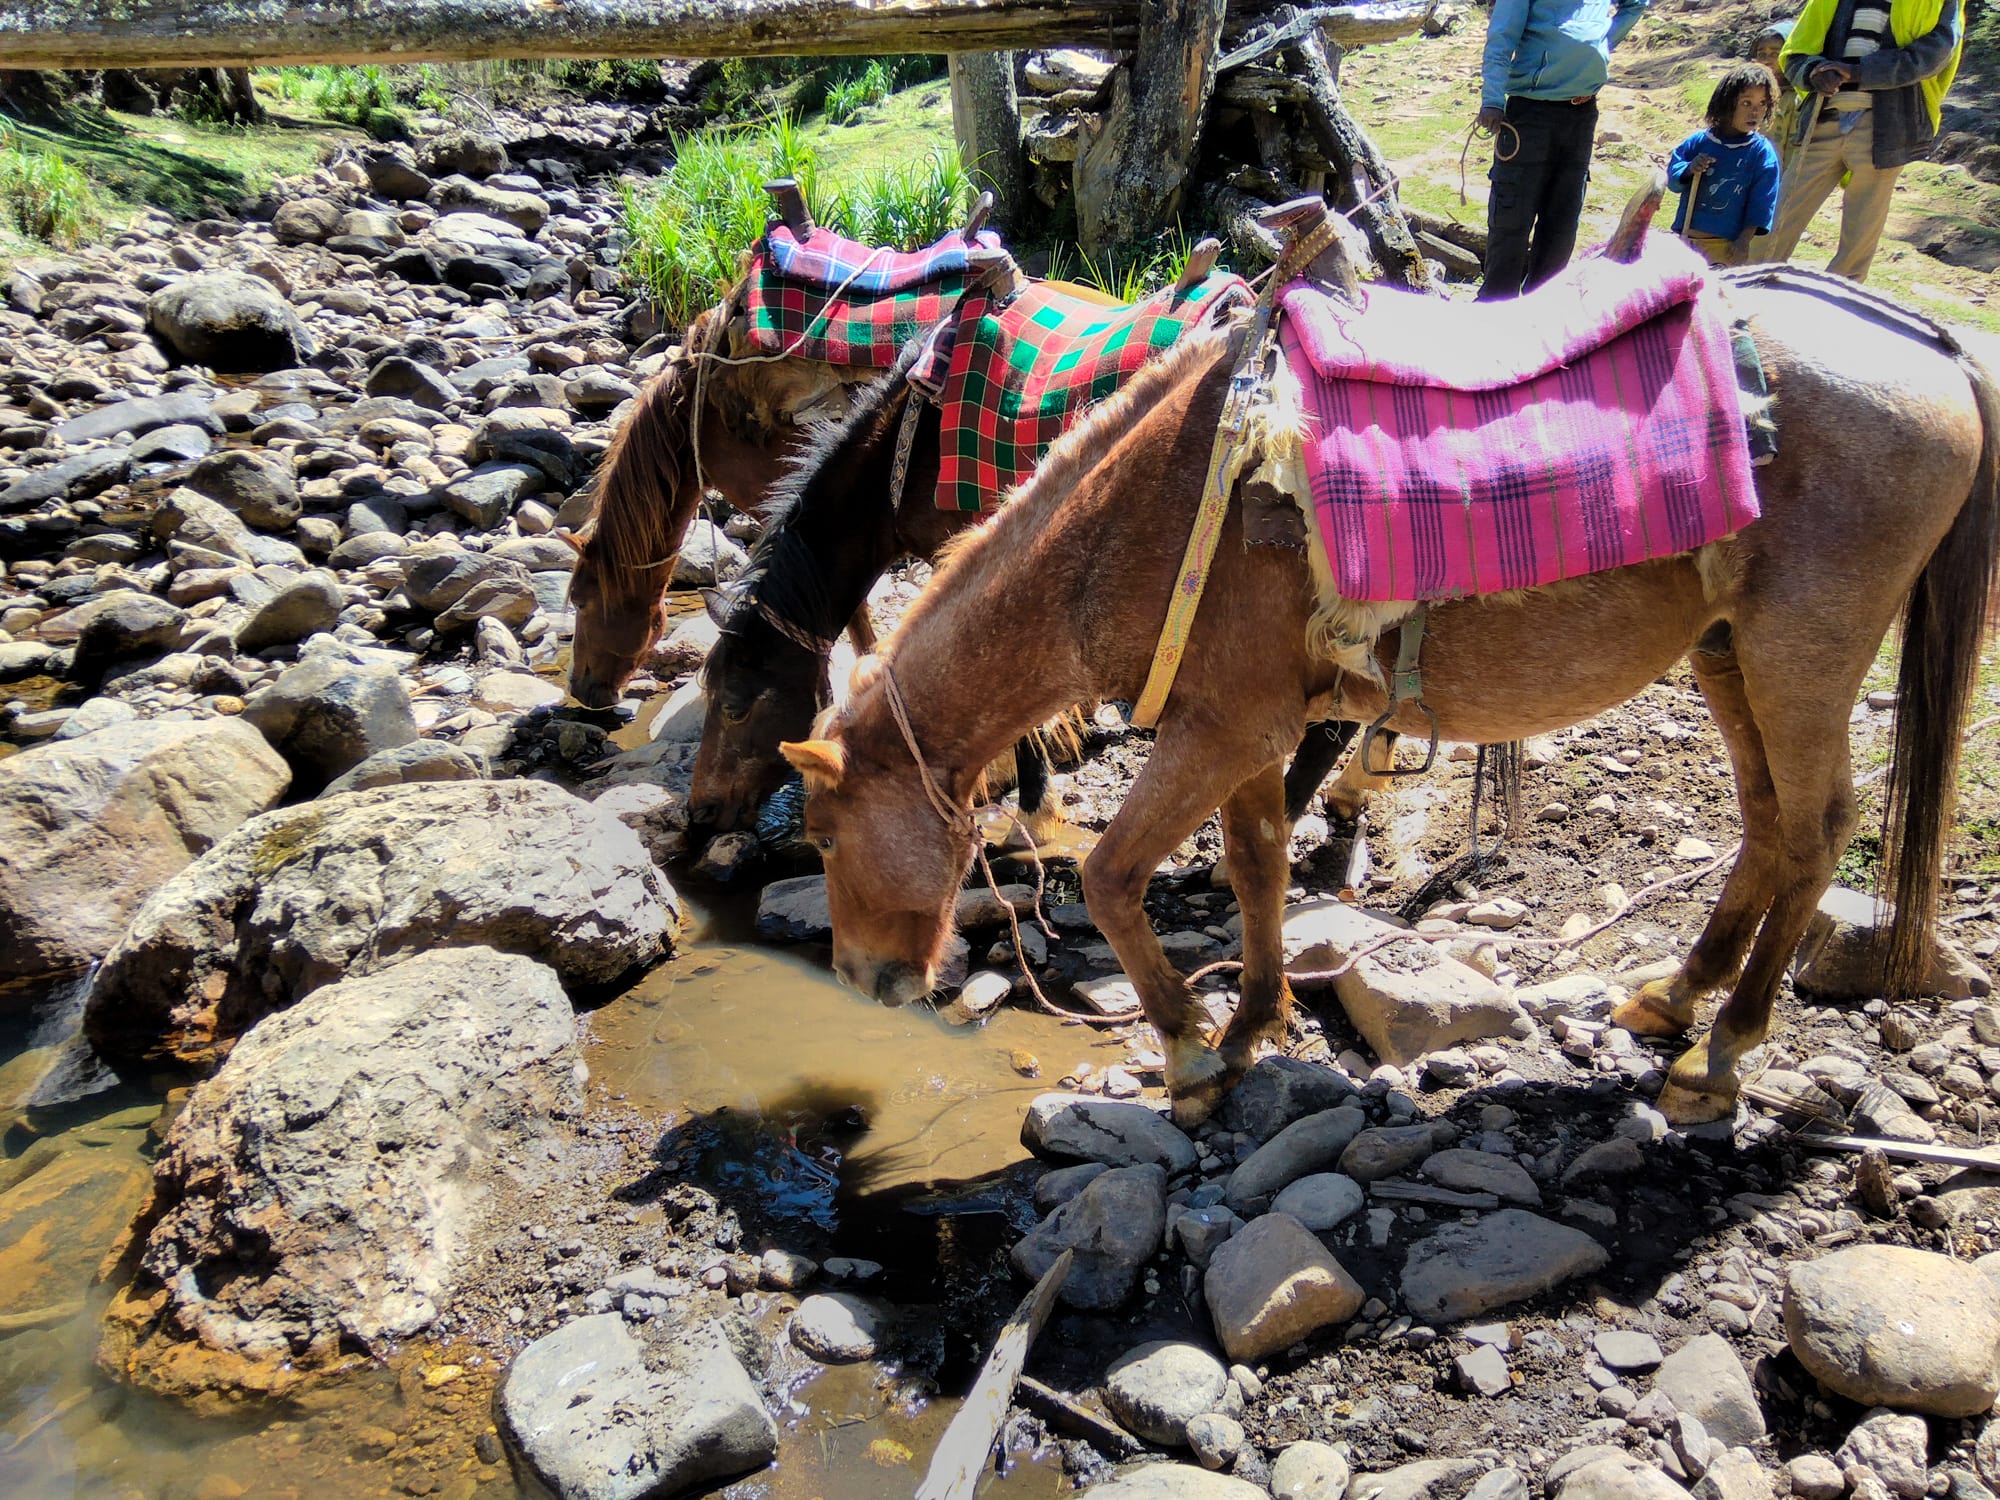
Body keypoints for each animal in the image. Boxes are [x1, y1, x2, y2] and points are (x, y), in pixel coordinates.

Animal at [780, 258, 2000, 1128]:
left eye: (828, 840)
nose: (861, 982)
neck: (1148, 518)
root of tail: (1932, 347)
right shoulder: (1241, 730)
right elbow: (1257, 866)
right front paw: (1251, 1025)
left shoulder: (1218, 733)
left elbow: (1115, 876)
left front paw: (1188, 1053)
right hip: (1725, 655)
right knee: (1766, 825)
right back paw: (1676, 998)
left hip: (1803, 659)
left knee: (1817, 833)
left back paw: (1720, 1056)